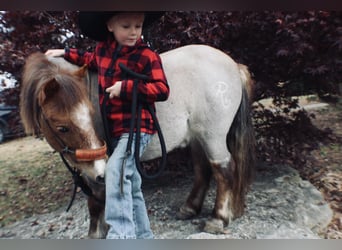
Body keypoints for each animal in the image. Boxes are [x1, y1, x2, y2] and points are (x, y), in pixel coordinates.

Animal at [19, 44, 254, 238]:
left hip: (212, 137)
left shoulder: (98, 164)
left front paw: (99, 232)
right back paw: (190, 208)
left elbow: (97, 196)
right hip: (197, 138)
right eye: (62, 127)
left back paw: (218, 219)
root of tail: (233, 65)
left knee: (223, 171)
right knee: (202, 170)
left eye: (91, 115)